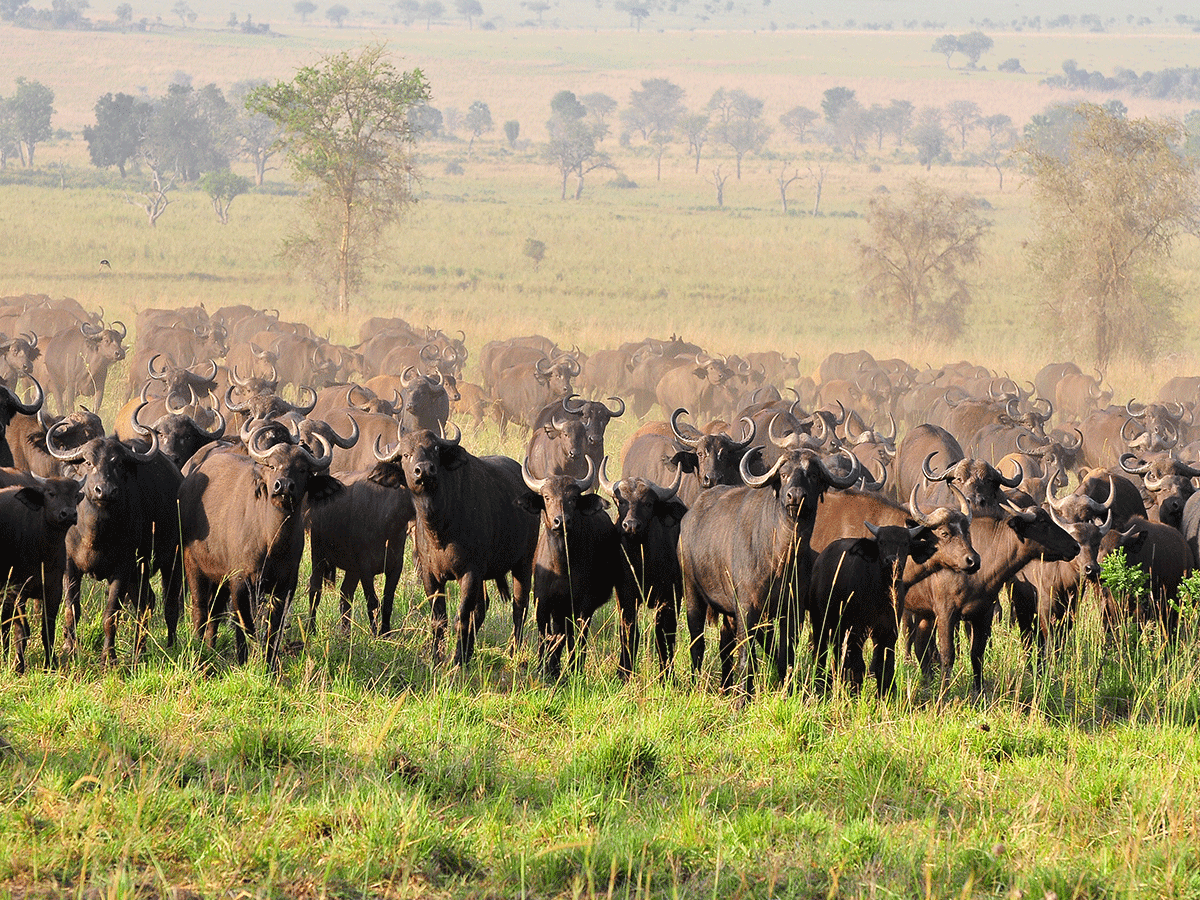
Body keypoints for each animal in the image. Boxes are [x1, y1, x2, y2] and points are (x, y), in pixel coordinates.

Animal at [0, 475, 81, 672]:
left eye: (75, 495)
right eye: (51, 493)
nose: (69, 514)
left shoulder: (53, 590)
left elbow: (48, 629)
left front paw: (51, 664)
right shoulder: (18, 590)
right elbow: (22, 630)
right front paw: (19, 665)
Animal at [182, 424, 343, 672]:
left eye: (302, 469)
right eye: (272, 465)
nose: (283, 486)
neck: (272, 541)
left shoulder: (285, 586)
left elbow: (273, 628)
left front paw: (269, 663)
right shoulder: (241, 581)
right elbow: (245, 623)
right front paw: (245, 659)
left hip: (220, 577)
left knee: (215, 613)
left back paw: (210, 648)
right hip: (194, 565)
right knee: (200, 610)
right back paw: (200, 652)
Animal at [307, 472, 415, 633]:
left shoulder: (395, 565)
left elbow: (387, 602)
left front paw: (386, 633)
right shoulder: (365, 567)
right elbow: (373, 603)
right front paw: (375, 634)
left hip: (352, 569)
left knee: (345, 594)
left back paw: (346, 633)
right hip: (318, 554)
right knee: (315, 589)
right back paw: (311, 630)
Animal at [369, 424, 540, 672]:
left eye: (435, 449)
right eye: (406, 455)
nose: (424, 470)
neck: (440, 527)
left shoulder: (470, 573)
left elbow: (462, 617)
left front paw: (457, 660)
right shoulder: (430, 575)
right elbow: (439, 619)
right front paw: (437, 657)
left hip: (524, 563)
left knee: (520, 606)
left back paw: (512, 651)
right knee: (482, 608)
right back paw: (470, 653)